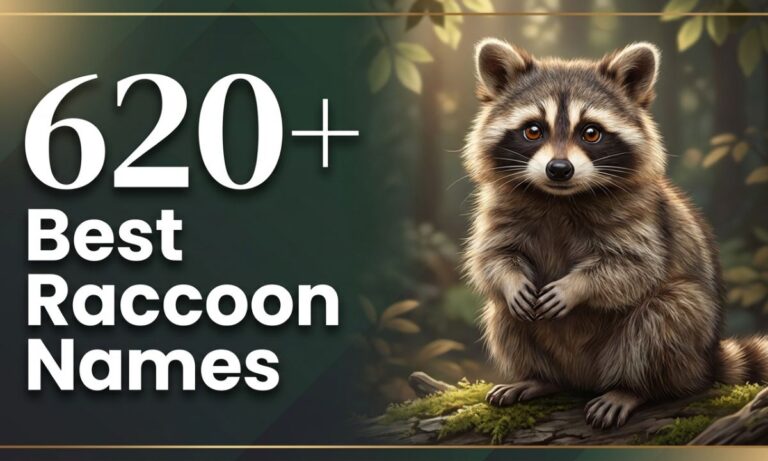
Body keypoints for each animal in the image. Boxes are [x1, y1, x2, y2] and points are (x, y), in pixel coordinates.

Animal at [463, 39, 768, 429]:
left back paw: (634, 388)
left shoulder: (643, 219)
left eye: (591, 132)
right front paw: (511, 279)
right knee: (501, 314)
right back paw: (539, 377)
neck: (559, 197)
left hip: (686, 336)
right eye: (533, 130)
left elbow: (633, 268)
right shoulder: (498, 208)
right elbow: (492, 256)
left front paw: (576, 287)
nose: (559, 169)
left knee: (667, 315)